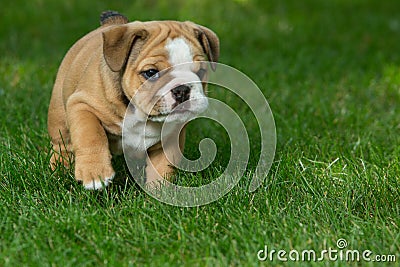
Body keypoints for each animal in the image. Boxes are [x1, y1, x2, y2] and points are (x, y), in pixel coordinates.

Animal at [49, 11, 222, 191]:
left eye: (201, 72)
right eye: (151, 72)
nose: (181, 90)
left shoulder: (169, 139)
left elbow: (163, 167)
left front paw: (158, 192)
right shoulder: (82, 105)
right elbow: (90, 135)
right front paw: (95, 174)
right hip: (58, 116)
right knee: (62, 144)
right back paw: (60, 168)